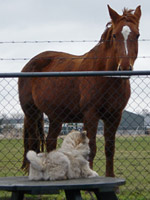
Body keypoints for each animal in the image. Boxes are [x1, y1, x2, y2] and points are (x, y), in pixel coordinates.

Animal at [18, 5, 141, 177]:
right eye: (115, 35)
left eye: (137, 35)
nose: (124, 68)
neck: (105, 76)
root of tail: (29, 65)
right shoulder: (91, 115)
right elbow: (92, 149)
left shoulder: (115, 116)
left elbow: (110, 149)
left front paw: (110, 177)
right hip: (31, 113)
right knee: (33, 143)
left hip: (55, 117)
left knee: (50, 142)